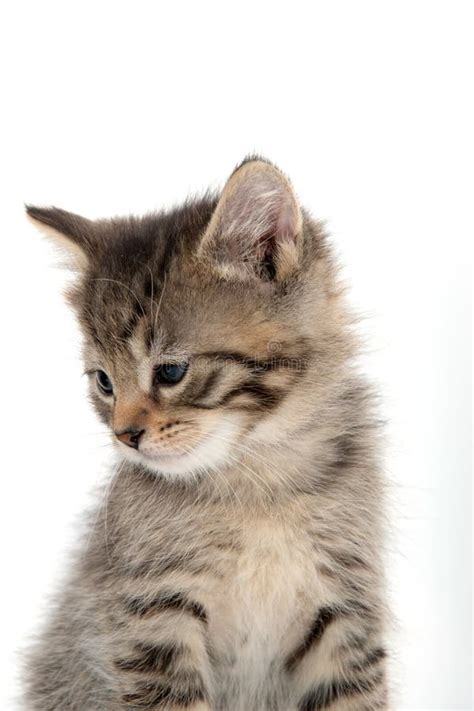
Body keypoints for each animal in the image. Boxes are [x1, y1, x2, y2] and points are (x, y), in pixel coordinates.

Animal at [23, 160, 388, 711]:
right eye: (104, 382)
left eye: (171, 372)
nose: (125, 435)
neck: (258, 481)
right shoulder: (152, 615)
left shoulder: (346, 605)